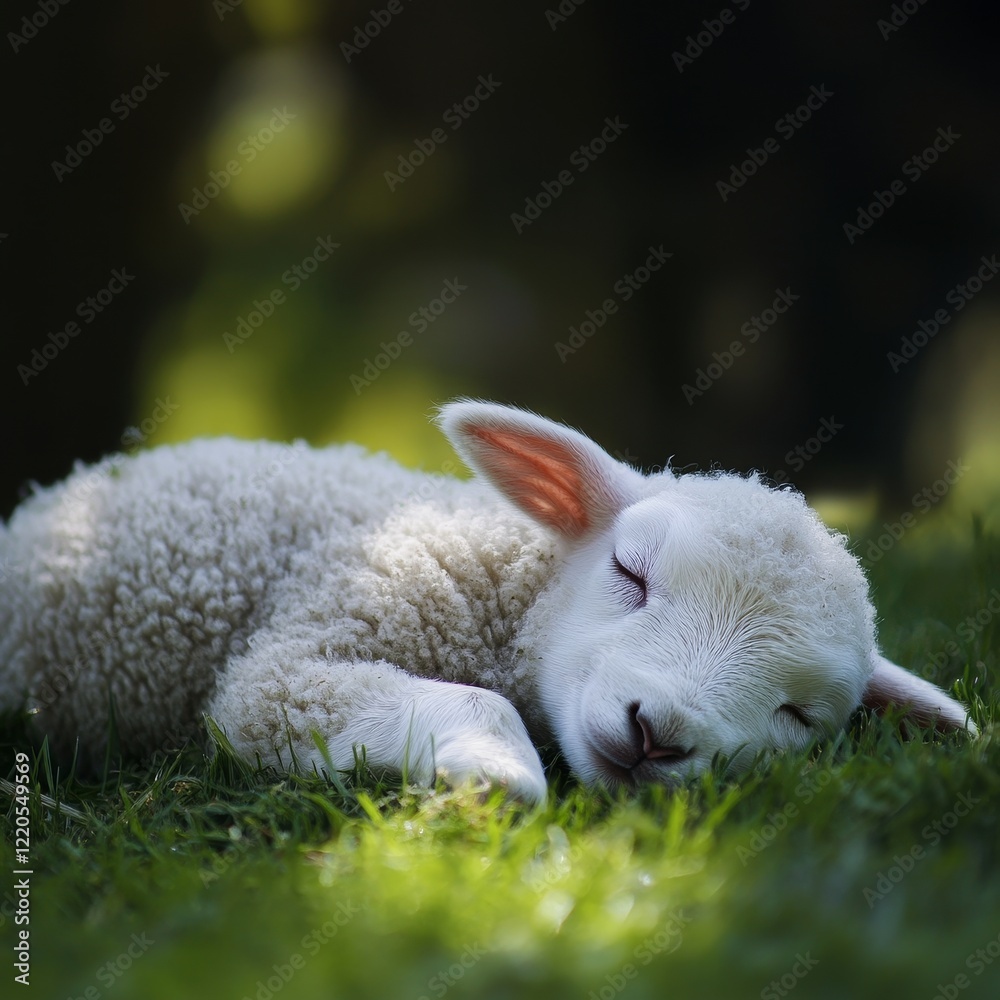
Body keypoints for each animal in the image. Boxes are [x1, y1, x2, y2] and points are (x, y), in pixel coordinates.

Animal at [0, 401, 977, 803]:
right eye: (630, 572)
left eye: (797, 716)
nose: (657, 731)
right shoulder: (294, 659)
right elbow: (475, 705)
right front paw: (498, 773)